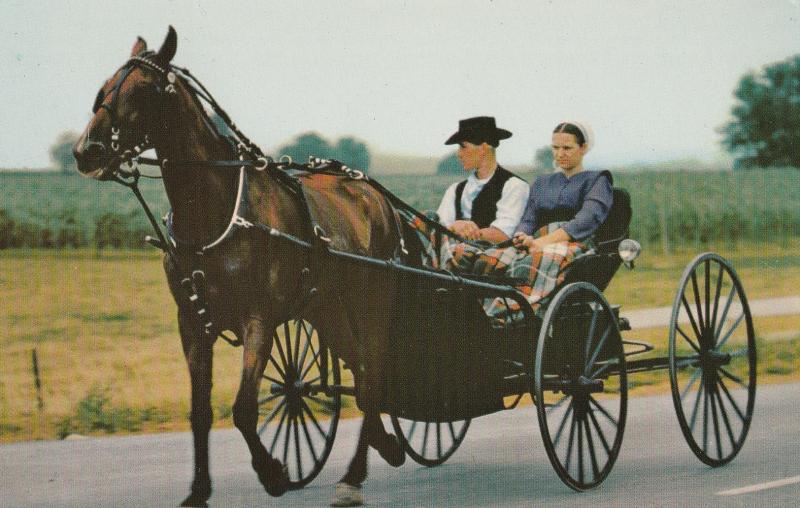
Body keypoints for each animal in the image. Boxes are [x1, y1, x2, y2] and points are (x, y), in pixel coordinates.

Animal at [72, 26, 406, 508]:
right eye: (105, 86)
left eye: (145, 90)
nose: (87, 151)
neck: (216, 211)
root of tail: (373, 195)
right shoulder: (192, 322)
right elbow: (200, 411)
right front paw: (198, 490)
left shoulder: (259, 318)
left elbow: (244, 410)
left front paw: (274, 472)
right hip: (327, 307)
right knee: (361, 374)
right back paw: (383, 445)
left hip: (370, 302)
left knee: (373, 375)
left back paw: (354, 474)